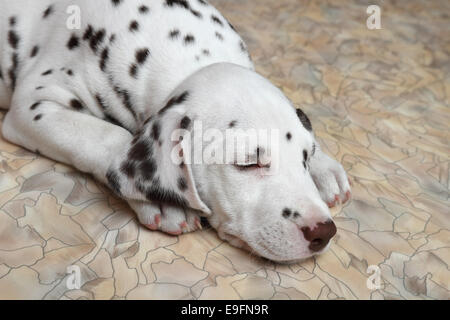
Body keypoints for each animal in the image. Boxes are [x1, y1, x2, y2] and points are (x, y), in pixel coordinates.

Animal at [0, 0, 352, 262]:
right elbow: (111, 137)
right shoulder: (35, 105)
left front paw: (324, 168)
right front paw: (162, 201)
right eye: (248, 163)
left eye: (304, 158)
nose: (323, 231)